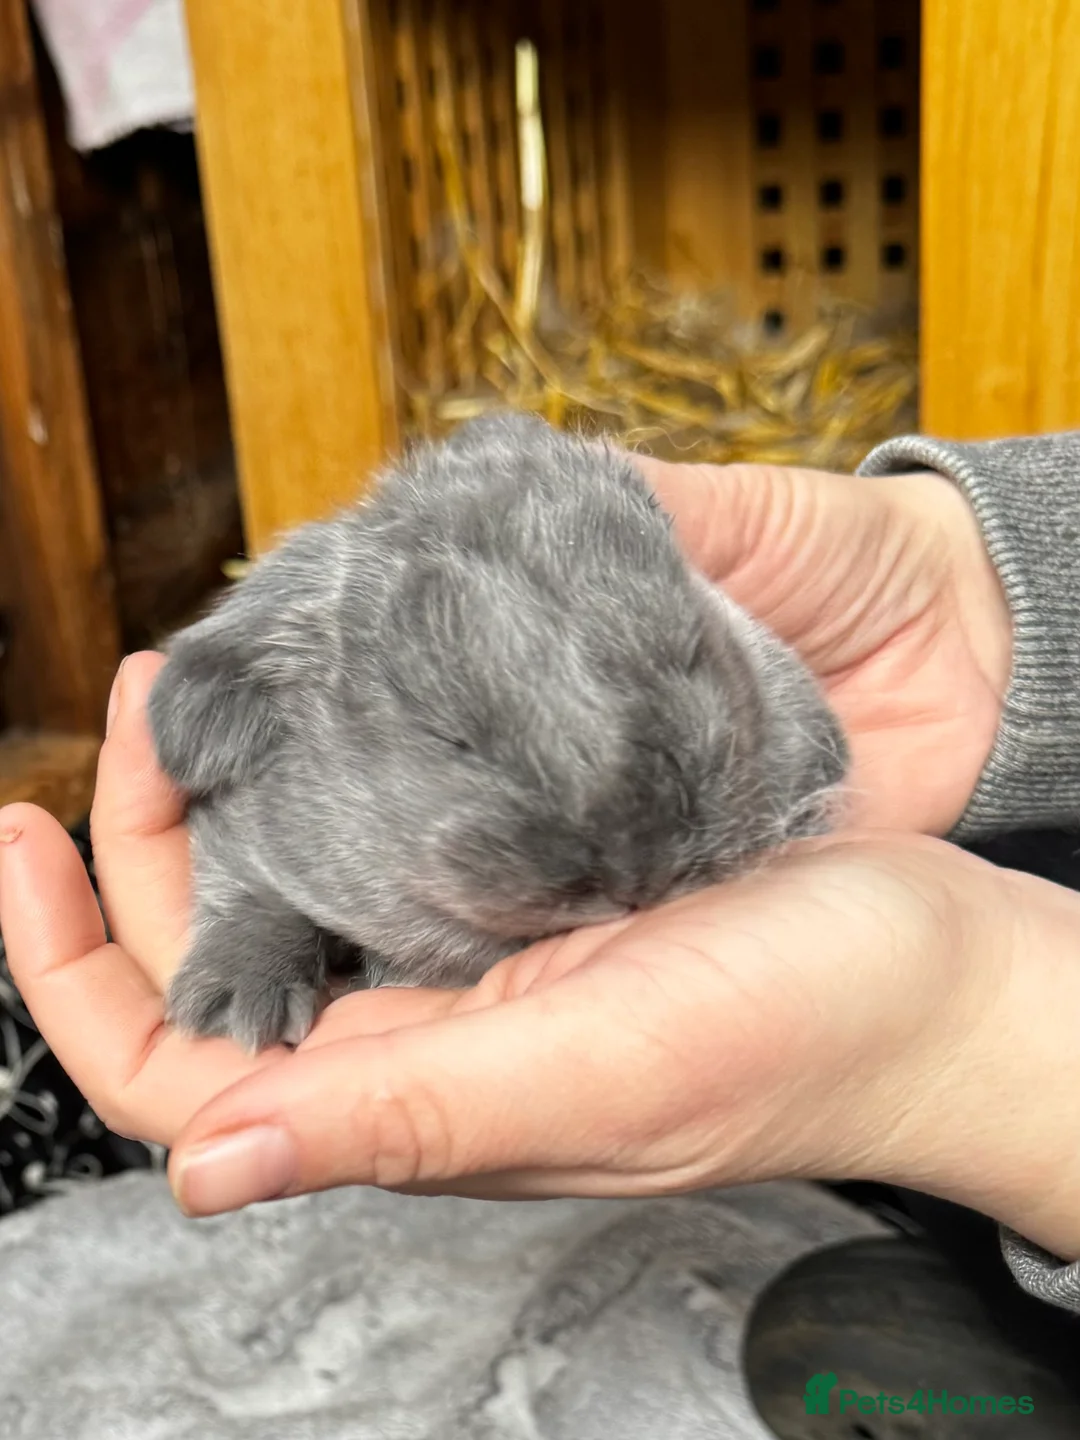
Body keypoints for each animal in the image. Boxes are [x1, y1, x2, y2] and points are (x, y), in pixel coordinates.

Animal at [147, 411, 849, 1052]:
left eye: (688, 649)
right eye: (446, 732)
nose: (641, 870)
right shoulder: (247, 840)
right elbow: (252, 895)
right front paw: (237, 1003)